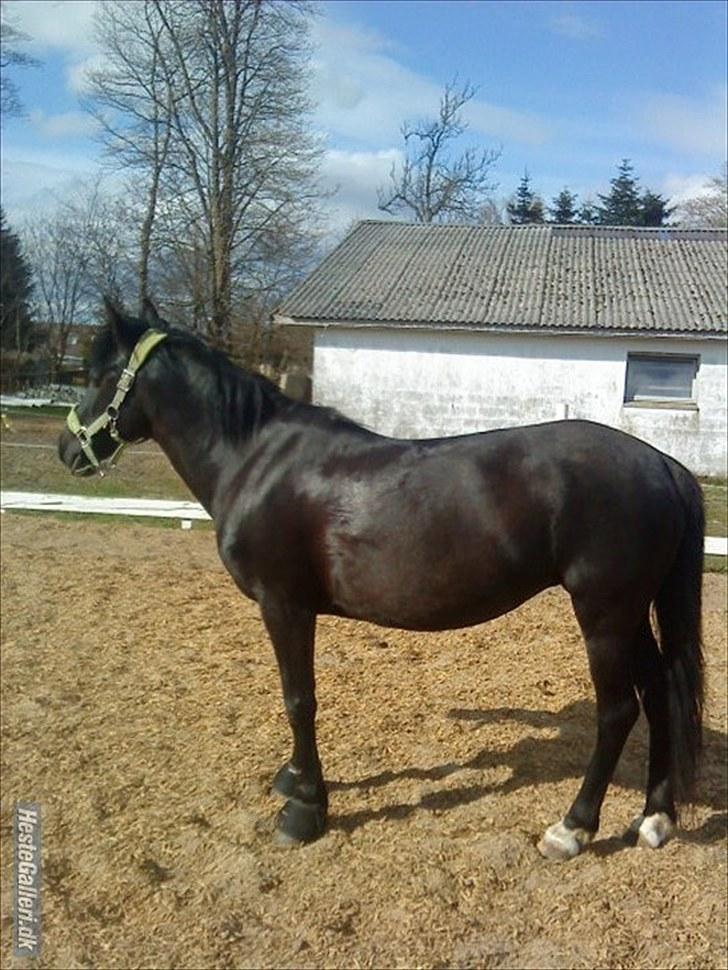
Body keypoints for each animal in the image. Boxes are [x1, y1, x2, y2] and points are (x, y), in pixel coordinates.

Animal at [58, 298, 704, 860]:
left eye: (100, 374)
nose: (68, 448)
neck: (256, 459)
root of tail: (660, 464)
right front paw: (294, 779)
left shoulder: (284, 604)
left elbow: (299, 699)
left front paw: (305, 808)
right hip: (631, 613)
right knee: (659, 693)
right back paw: (655, 818)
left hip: (604, 614)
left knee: (618, 711)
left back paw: (572, 829)